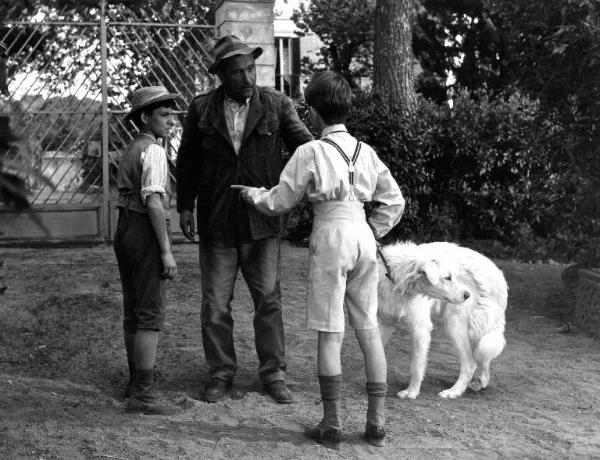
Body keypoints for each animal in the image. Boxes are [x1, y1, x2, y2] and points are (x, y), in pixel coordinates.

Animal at [380, 243, 506, 398]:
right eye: (448, 277)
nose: (467, 295)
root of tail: (497, 276)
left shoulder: (420, 329)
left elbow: (416, 366)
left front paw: (412, 392)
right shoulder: (384, 323)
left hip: (454, 325)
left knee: (470, 363)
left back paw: (454, 391)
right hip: (479, 332)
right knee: (482, 358)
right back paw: (480, 383)